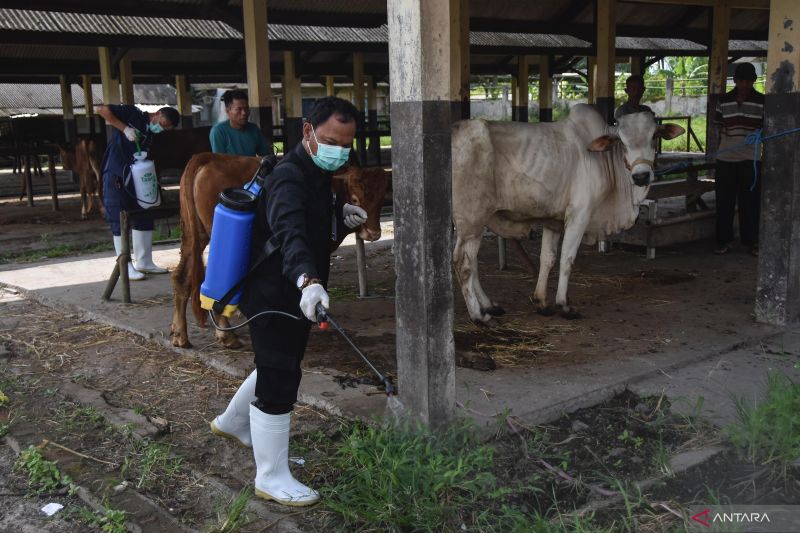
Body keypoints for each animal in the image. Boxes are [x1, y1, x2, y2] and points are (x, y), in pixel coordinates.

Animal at [172, 152, 390, 348]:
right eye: (355, 199)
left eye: (381, 200)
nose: (374, 233)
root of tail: (208, 156)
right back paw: (226, 335)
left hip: (192, 236)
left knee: (181, 277)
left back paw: (180, 334)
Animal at [454, 102, 684, 322]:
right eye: (621, 141)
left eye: (654, 136)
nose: (641, 176)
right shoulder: (579, 215)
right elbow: (567, 258)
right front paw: (563, 304)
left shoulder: (552, 221)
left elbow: (547, 259)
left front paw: (541, 302)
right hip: (472, 220)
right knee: (463, 263)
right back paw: (478, 315)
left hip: (472, 224)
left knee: (472, 263)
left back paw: (489, 305)